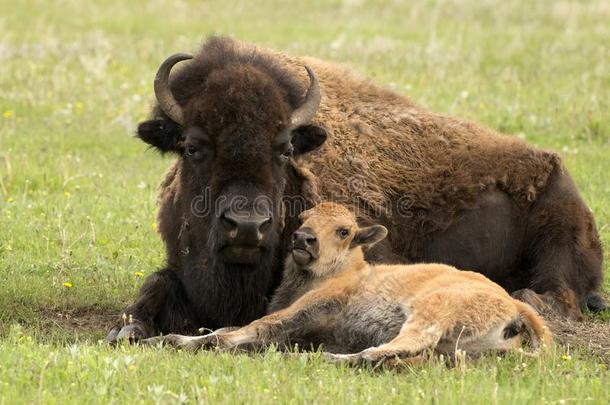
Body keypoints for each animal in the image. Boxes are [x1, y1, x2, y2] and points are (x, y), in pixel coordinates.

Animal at [107, 37, 600, 340]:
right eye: (192, 146)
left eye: (285, 148)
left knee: (558, 294)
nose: (246, 226)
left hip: (556, 236)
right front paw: (127, 329)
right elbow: (155, 285)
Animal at [144, 204, 552, 362]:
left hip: (430, 311)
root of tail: (513, 303)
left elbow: (254, 326)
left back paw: (328, 359)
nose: (303, 239)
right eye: (304, 217)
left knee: (396, 346)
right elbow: (237, 327)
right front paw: (167, 338)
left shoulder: (313, 307)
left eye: (343, 231)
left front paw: (186, 342)